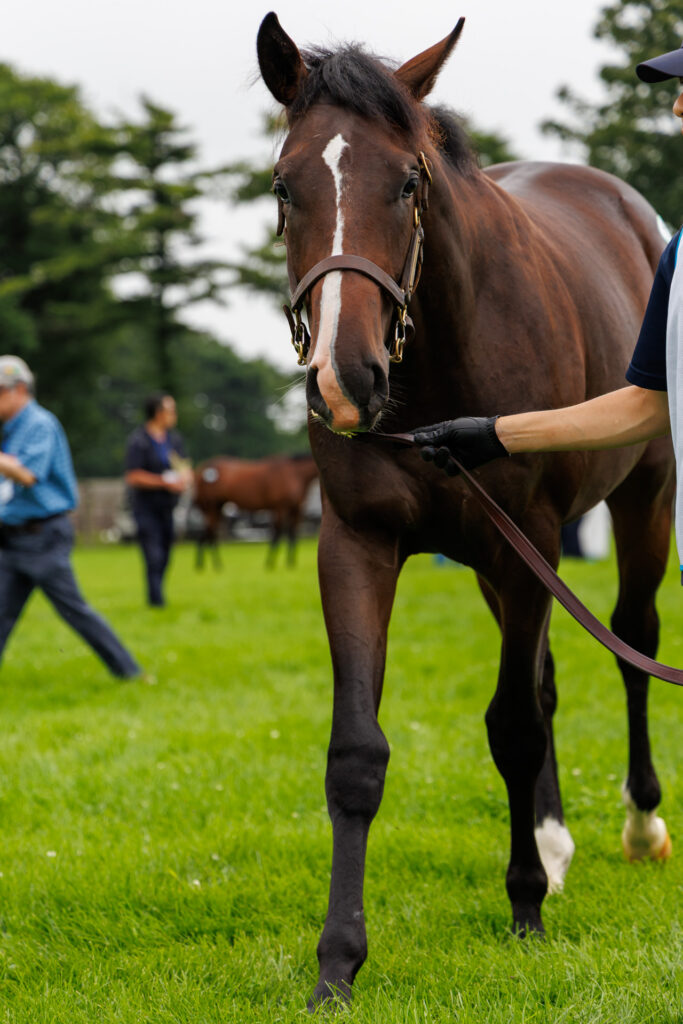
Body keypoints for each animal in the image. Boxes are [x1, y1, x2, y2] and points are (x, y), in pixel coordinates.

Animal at [257, 13, 675, 1007]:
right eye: (284, 186)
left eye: (406, 181)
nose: (345, 379)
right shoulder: (358, 545)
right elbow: (357, 753)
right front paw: (337, 962)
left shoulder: (529, 544)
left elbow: (513, 727)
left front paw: (522, 906)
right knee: (549, 678)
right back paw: (553, 843)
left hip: (641, 503)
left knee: (631, 642)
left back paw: (638, 827)